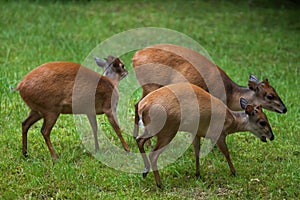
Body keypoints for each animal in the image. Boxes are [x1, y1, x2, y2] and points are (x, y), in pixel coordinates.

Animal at [132, 44, 288, 138]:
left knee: (137, 104)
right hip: (151, 85)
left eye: (275, 90)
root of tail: (135, 56)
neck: (231, 94)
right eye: (270, 95)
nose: (285, 109)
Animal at [137, 82, 276, 188]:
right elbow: (226, 153)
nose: (272, 136)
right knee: (152, 153)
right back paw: (160, 184)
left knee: (139, 140)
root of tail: (142, 106)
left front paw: (198, 174)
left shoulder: (196, 133)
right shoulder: (218, 134)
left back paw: (145, 172)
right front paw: (234, 172)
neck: (231, 120)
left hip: (154, 128)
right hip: (167, 129)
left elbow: (197, 152)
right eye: (262, 121)